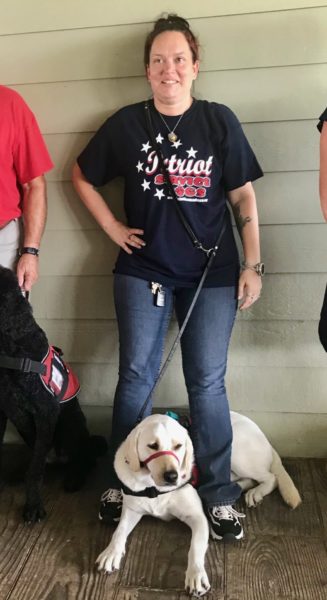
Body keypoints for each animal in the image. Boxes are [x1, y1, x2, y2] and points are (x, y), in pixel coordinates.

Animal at [0, 264, 107, 524]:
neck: (13, 348)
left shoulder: (46, 413)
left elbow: (35, 472)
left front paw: (33, 505)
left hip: (70, 425)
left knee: (85, 456)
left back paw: (75, 476)